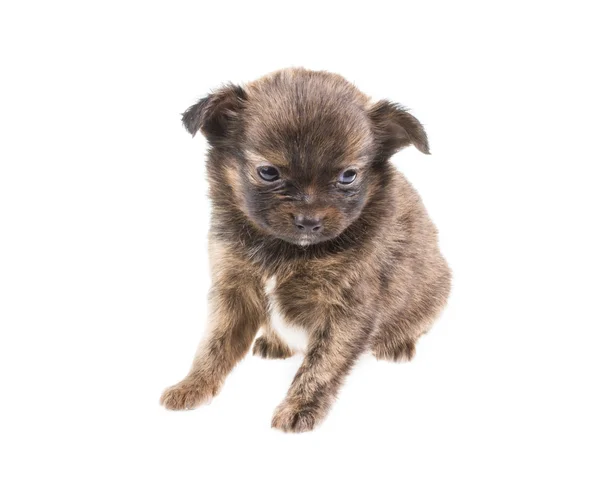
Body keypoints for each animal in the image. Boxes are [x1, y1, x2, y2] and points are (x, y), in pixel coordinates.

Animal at [159, 66, 450, 430]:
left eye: (348, 176)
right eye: (268, 172)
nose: (309, 221)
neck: (286, 251)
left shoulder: (347, 308)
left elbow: (321, 364)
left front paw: (301, 407)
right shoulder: (233, 291)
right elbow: (214, 344)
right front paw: (193, 386)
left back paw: (398, 343)